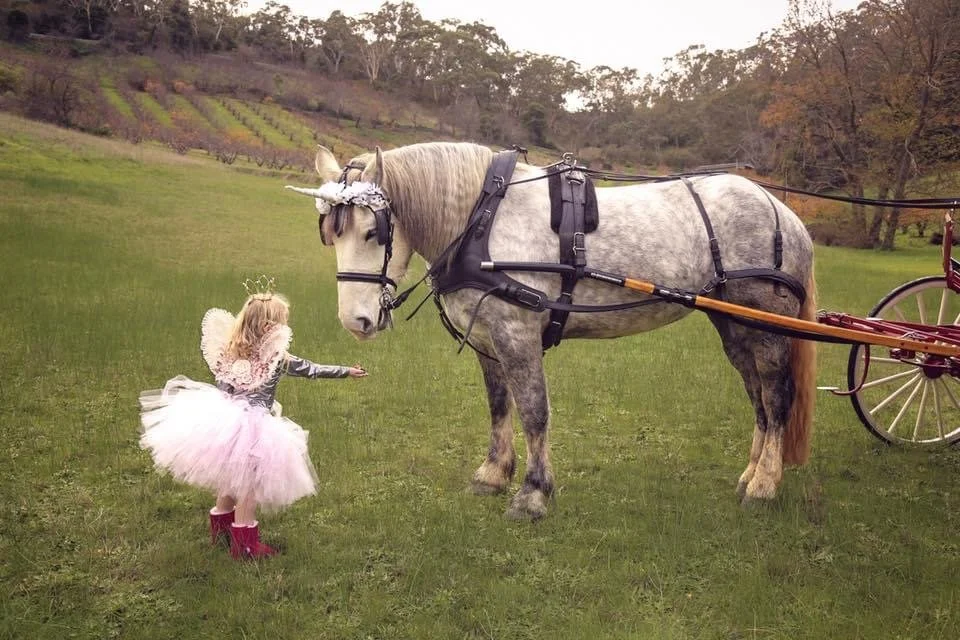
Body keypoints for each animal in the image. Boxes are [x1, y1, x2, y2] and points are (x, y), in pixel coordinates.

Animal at [287, 142, 817, 520]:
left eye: (373, 232)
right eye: (329, 235)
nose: (355, 322)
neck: (481, 219)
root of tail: (784, 212)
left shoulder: (517, 334)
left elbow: (534, 412)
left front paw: (533, 493)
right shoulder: (488, 339)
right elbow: (499, 407)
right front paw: (493, 474)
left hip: (767, 327)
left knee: (776, 397)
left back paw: (765, 485)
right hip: (735, 324)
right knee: (757, 397)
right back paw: (751, 473)